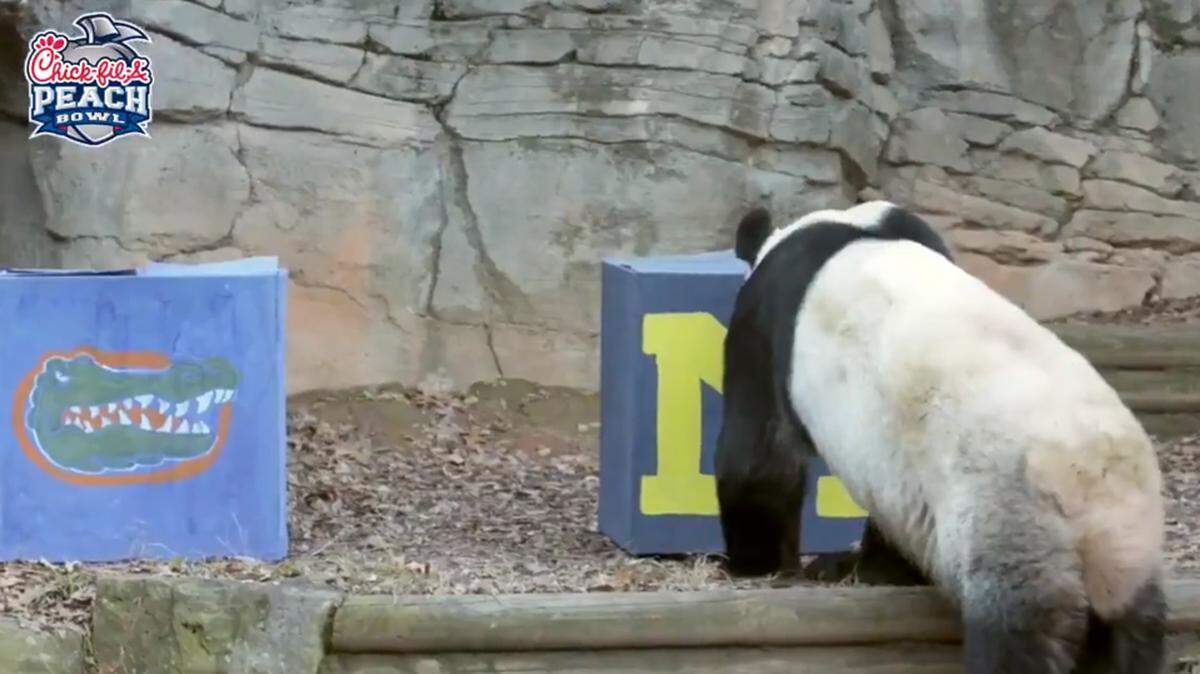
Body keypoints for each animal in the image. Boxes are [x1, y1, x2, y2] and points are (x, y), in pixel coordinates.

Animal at [715, 201, 1166, 674]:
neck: (846, 226)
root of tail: (1091, 484)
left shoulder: (763, 321)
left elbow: (759, 456)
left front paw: (758, 564)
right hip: (1129, 553)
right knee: (1131, 641)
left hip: (1006, 519)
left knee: (1012, 636)